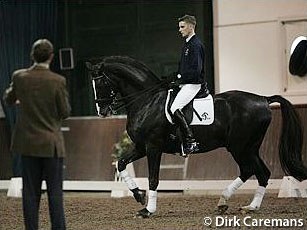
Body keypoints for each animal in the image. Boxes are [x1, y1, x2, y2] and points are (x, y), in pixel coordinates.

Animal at [86, 56, 307, 218]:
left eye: (102, 82)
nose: (102, 111)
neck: (147, 100)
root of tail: (263, 99)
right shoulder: (141, 147)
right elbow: (121, 163)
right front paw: (138, 195)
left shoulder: (153, 147)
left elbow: (153, 178)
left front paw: (148, 210)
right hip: (249, 147)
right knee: (258, 172)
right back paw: (240, 205)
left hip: (240, 146)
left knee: (254, 171)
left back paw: (237, 203)